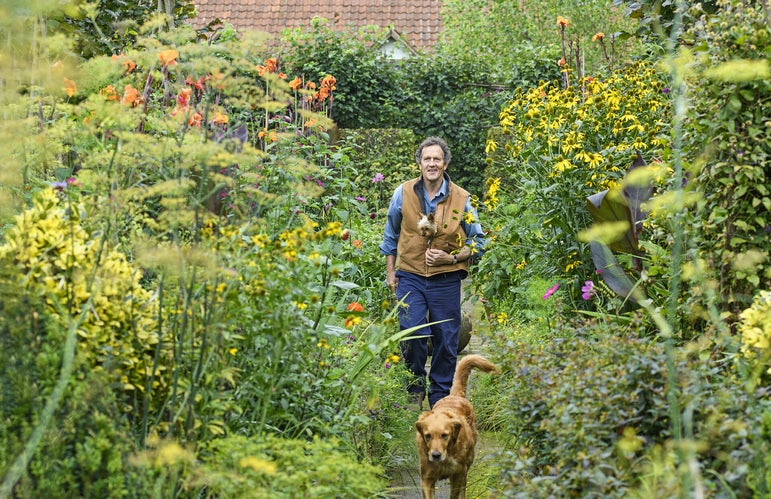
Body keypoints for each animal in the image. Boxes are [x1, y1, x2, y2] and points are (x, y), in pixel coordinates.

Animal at [416, 354, 500, 498]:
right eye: (428, 436)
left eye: (445, 435)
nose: (436, 455)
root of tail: (455, 395)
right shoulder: (426, 478)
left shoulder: (457, 474)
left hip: (467, 463)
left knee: (464, 486)